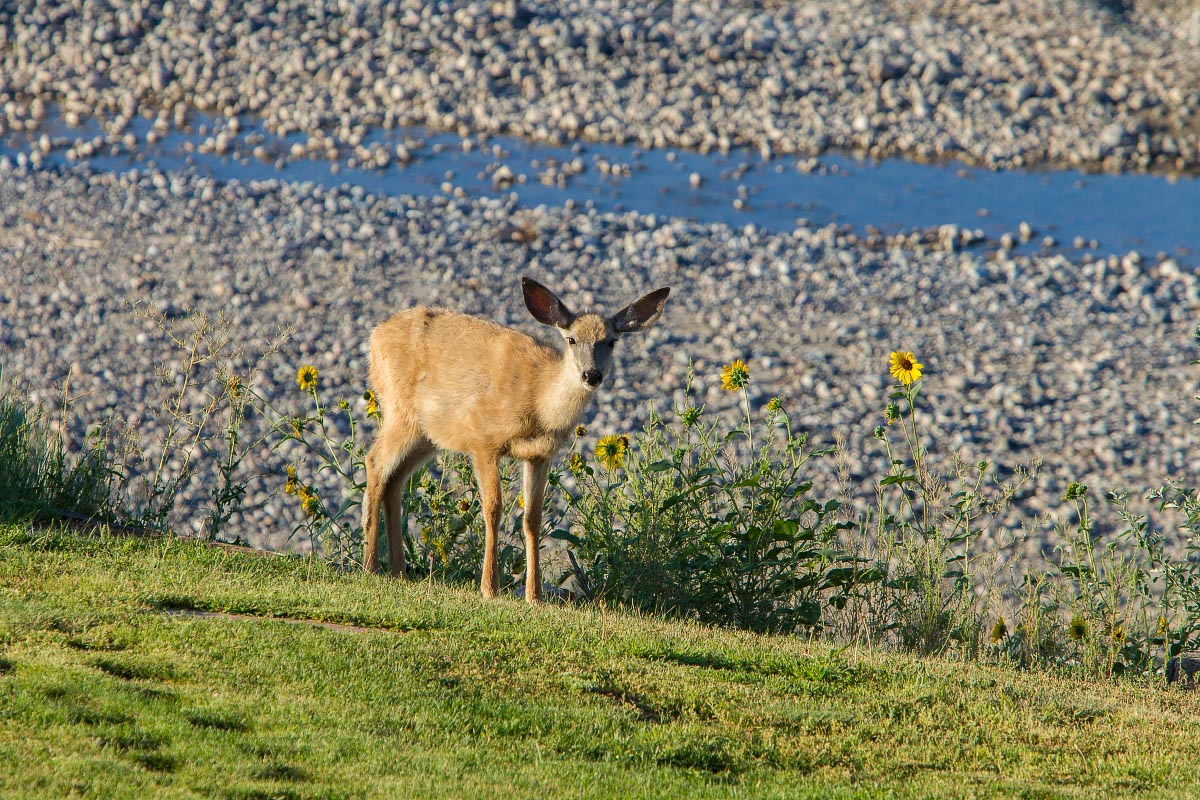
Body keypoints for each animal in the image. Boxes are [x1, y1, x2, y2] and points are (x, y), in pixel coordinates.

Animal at [360, 278, 672, 604]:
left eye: (611, 341)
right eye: (572, 340)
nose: (592, 375)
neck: (538, 403)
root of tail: (375, 335)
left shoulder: (540, 455)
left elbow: (533, 518)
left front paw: (534, 596)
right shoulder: (482, 438)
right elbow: (493, 508)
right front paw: (489, 588)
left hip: (427, 433)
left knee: (395, 478)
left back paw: (397, 570)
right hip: (400, 410)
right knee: (375, 461)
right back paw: (370, 566)